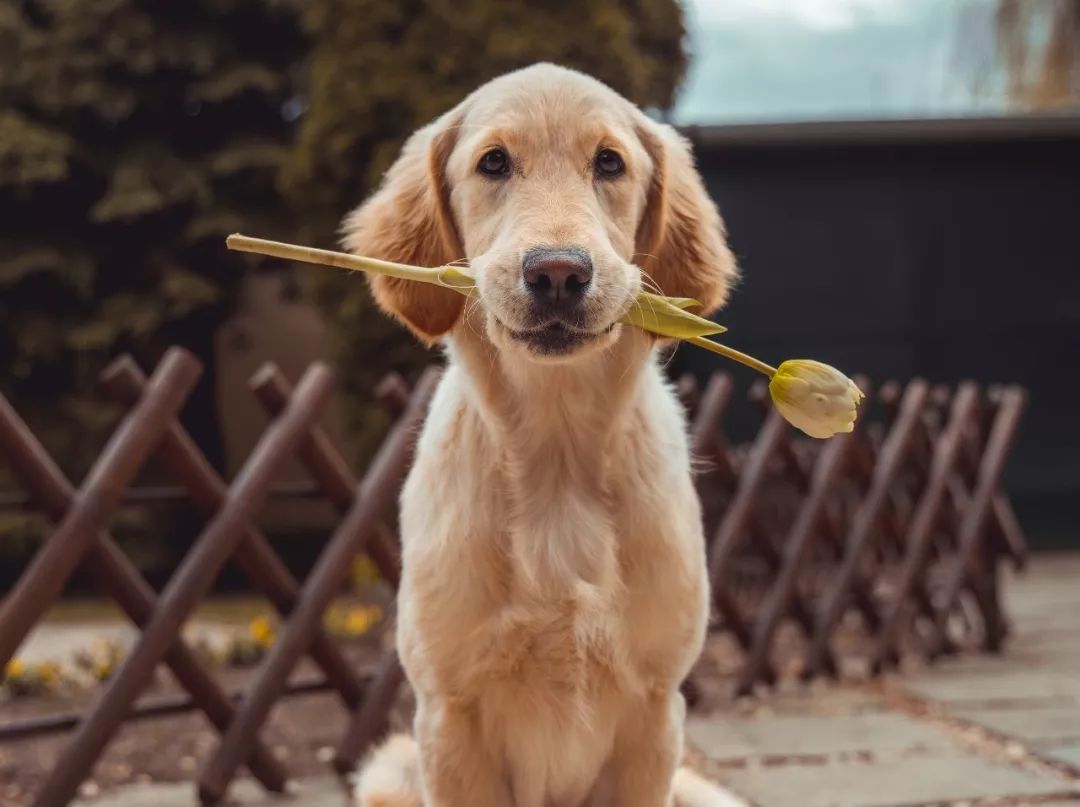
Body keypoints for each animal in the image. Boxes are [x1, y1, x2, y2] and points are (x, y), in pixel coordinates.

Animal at [347, 64, 743, 807]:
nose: (558, 273)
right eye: (494, 162)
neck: (557, 453)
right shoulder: (449, 713)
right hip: (390, 774)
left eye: (610, 162)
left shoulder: (656, 711)